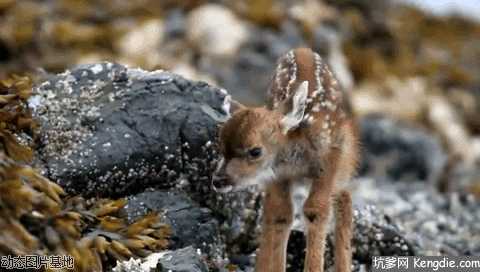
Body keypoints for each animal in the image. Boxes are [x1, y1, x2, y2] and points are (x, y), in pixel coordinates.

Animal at [213, 48, 356, 272]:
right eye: (220, 148)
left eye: (255, 151)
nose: (218, 180)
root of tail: (303, 49)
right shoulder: (277, 175)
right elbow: (281, 214)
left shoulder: (329, 161)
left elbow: (316, 210)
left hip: (344, 159)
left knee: (344, 197)